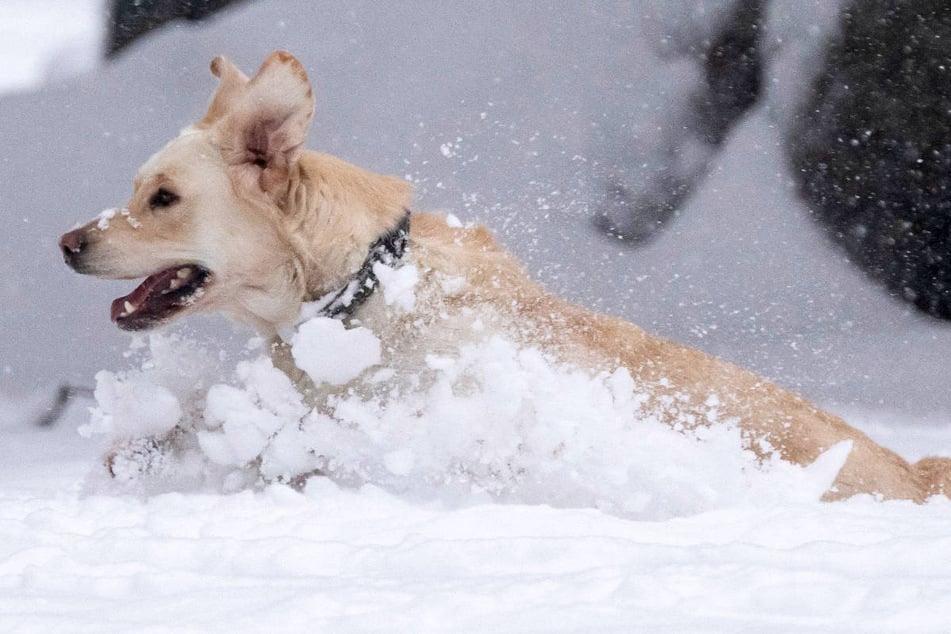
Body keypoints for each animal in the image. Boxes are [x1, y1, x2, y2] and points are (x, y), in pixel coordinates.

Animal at [59, 50, 951, 498]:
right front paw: (143, 448)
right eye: (138, 189)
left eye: (163, 198)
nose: (65, 243)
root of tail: (914, 472)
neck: (356, 292)